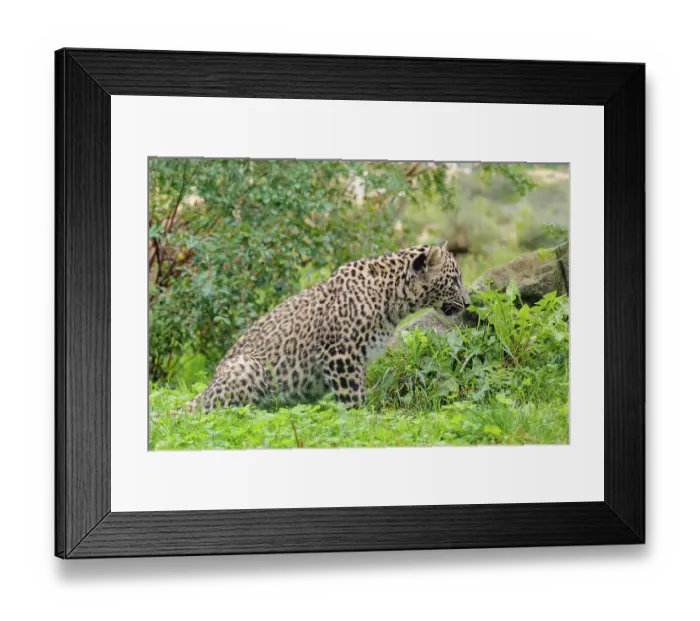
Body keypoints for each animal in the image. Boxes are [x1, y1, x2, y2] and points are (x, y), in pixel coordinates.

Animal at [183, 242, 470, 413]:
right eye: (455, 280)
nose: (468, 303)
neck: (392, 297)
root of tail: (205, 389)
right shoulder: (340, 354)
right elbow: (353, 397)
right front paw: (362, 420)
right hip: (246, 368)